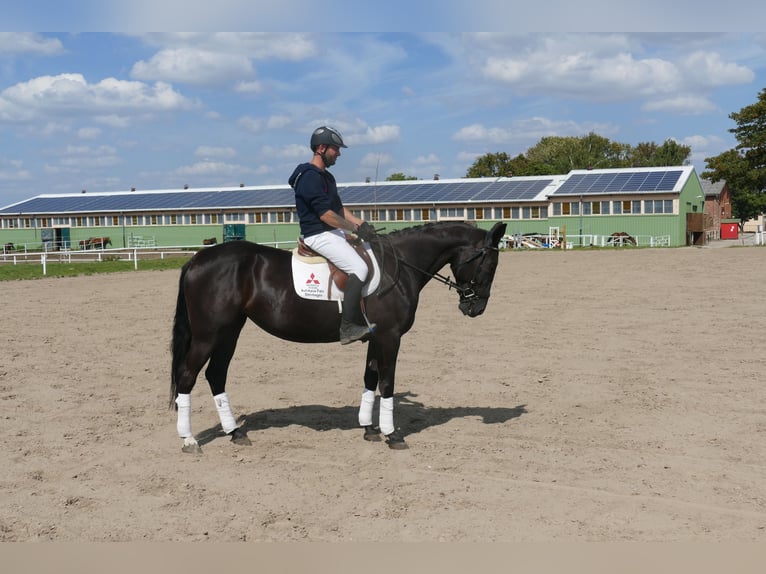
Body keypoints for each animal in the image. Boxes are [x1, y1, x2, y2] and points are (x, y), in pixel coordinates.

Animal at [169, 221, 507, 453]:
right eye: (489, 264)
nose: (476, 308)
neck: (399, 266)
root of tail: (197, 260)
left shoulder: (376, 337)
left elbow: (370, 378)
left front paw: (369, 428)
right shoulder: (390, 337)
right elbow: (387, 383)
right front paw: (392, 434)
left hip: (229, 332)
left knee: (216, 375)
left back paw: (235, 433)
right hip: (208, 335)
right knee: (187, 376)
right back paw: (189, 440)